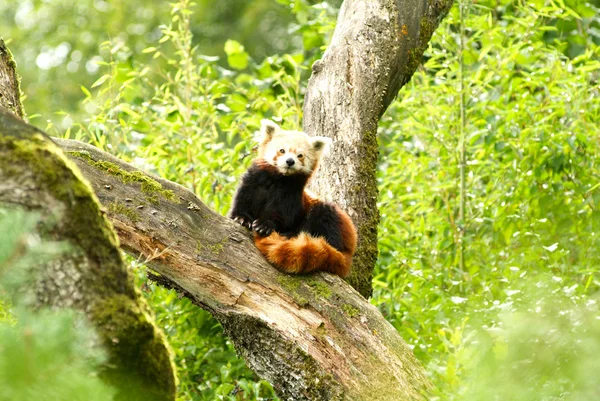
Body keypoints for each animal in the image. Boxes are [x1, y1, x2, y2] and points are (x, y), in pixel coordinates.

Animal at [230, 118, 356, 276]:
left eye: (300, 155)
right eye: (282, 150)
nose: (290, 161)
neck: (279, 179)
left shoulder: (290, 195)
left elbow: (280, 214)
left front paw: (265, 225)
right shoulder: (255, 181)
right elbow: (243, 198)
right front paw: (241, 217)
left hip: (331, 220)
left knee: (324, 218)